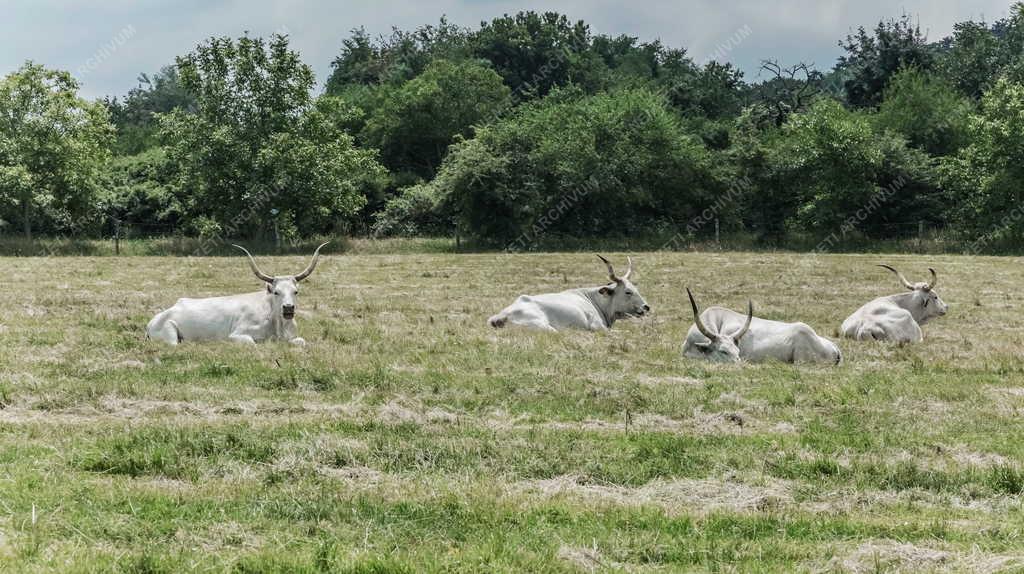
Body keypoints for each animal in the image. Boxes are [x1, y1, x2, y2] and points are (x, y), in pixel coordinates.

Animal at [146, 241, 329, 343]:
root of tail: (153, 321)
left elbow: (301, 342)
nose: (289, 308)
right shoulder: (236, 335)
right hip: (170, 336)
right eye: (276, 292)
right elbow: (252, 342)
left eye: (295, 292)